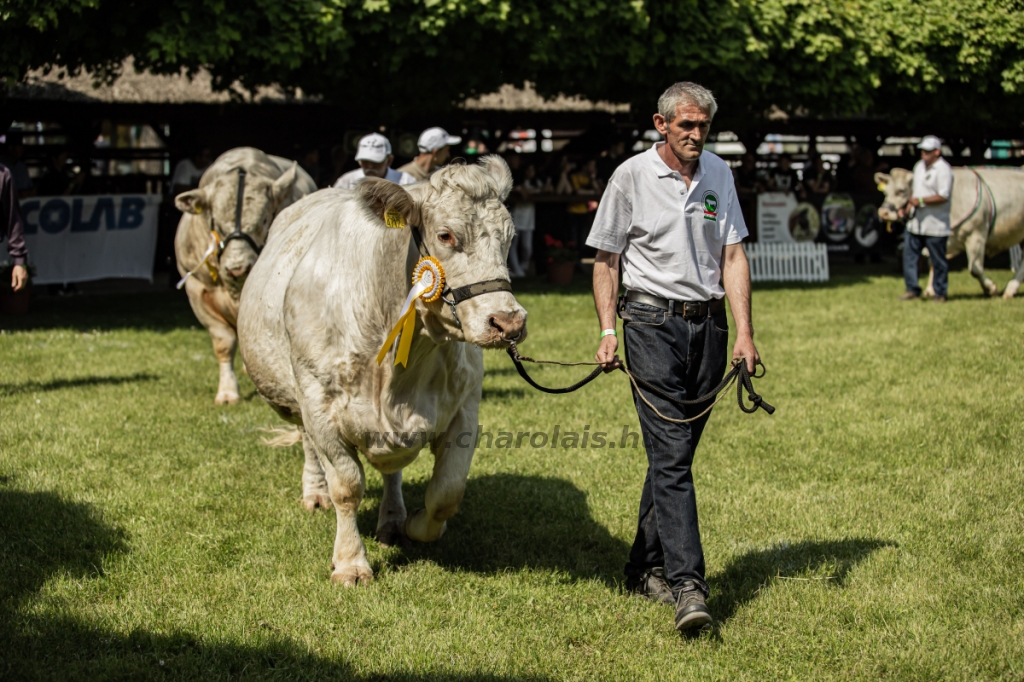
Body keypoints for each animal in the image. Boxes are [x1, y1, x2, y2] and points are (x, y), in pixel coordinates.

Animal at [175, 147, 315, 403]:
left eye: (264, 220)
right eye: (217, 225)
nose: (237, 268)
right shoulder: (196, 289)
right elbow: (223, 342)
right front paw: (227, 391)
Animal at [237, 155, 528, 585]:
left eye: (509, 237)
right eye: (446, 236)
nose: (508, 322)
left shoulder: (464, 409)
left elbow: (447, 493)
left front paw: (415, 526)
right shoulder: (319, 407)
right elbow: (346, 485)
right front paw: (350, 562)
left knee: (393, 472)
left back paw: (392, 520)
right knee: (308, 445)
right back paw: (315, 493)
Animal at [876, 165, 1024, 296]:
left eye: (901, 191)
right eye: (885, 192)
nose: (883, 212)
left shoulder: (976, 235)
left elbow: (975, 269)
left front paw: (990, 288)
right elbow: (933, 262)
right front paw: (931, 290)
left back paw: (1010, 289)